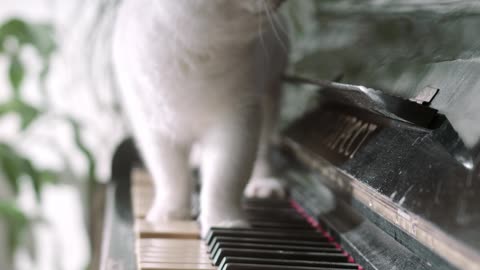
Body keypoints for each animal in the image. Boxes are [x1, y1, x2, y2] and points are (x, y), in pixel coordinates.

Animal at [112, 0, 288, 236]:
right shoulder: (154, 131)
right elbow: (170, 176)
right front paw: (170, 215)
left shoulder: (236, 124)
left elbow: (223, 180)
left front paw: (224, 223)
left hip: (270, 97)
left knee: (262, 152)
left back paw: (264, 185)